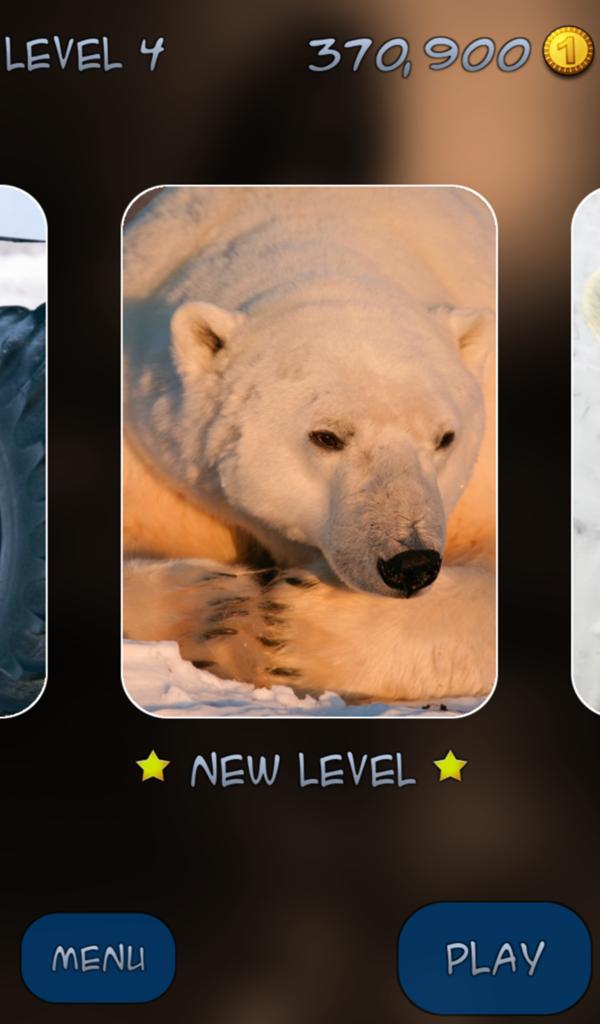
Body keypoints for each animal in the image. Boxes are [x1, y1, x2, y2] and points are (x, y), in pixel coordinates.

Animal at [123, 186, 496, 703]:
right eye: (327, 436)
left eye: (445, 438)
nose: (411, 563)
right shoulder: (154, 447)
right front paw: (217, 608)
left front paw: (291, 630)